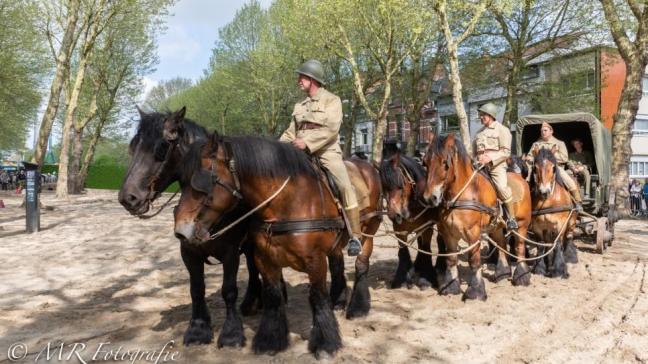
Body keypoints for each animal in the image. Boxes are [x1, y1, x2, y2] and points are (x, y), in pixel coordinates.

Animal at [119, 107, 264, 346]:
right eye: (133, 146)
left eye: (161, 149)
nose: (128, 198)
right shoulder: (188, 251)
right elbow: (196, 289)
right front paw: (198, 328)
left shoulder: (231, 252)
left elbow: (229, 290)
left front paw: (232, 333)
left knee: (254, 266)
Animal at [175, 133, 382, 356]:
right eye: (181, 181)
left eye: (204, 181)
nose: (181, 230)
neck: (288, 203)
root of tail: (368, 166)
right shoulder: (264, 260)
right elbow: (273, 297)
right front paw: (270, 341)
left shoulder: (315, 260)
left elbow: (317, 297)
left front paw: (326, 343)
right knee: (338, 265)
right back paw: (339, 301)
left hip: (369, 231)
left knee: (361, 264)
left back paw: (358, 308)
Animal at [378, 142, 438, 290]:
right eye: (384, 186)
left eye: (401, 184)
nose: (394, 214)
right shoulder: (399, 229)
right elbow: (403, 251)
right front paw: (402, 279)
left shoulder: (427, 227)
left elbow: (425, 248)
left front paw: (425, 279)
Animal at [422, 134, 536, 302]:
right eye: (425, 162)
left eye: (445, 163)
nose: (430, 198)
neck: (462, 194)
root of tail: (522, 180)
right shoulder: (448, 233)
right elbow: (451, 259)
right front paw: (450, 287)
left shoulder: (473, 233)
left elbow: (474, 261)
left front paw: (475, 291)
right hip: (496, 228)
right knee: (501, 245)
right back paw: (502, 273)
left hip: (521, 225)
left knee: (519, 247)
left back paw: (522, 276)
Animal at [528, 146, 580, 278]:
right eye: (535, 168)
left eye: (553, 167)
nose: (544, 191)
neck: (547, 201)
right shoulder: (537, 226)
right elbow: (541, 245)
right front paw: (540, 268)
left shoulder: (560, 224)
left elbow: (557, 244)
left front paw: (559, 270)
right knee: (548, 242)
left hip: (572, 220)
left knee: (569, 236)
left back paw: (570, 257)